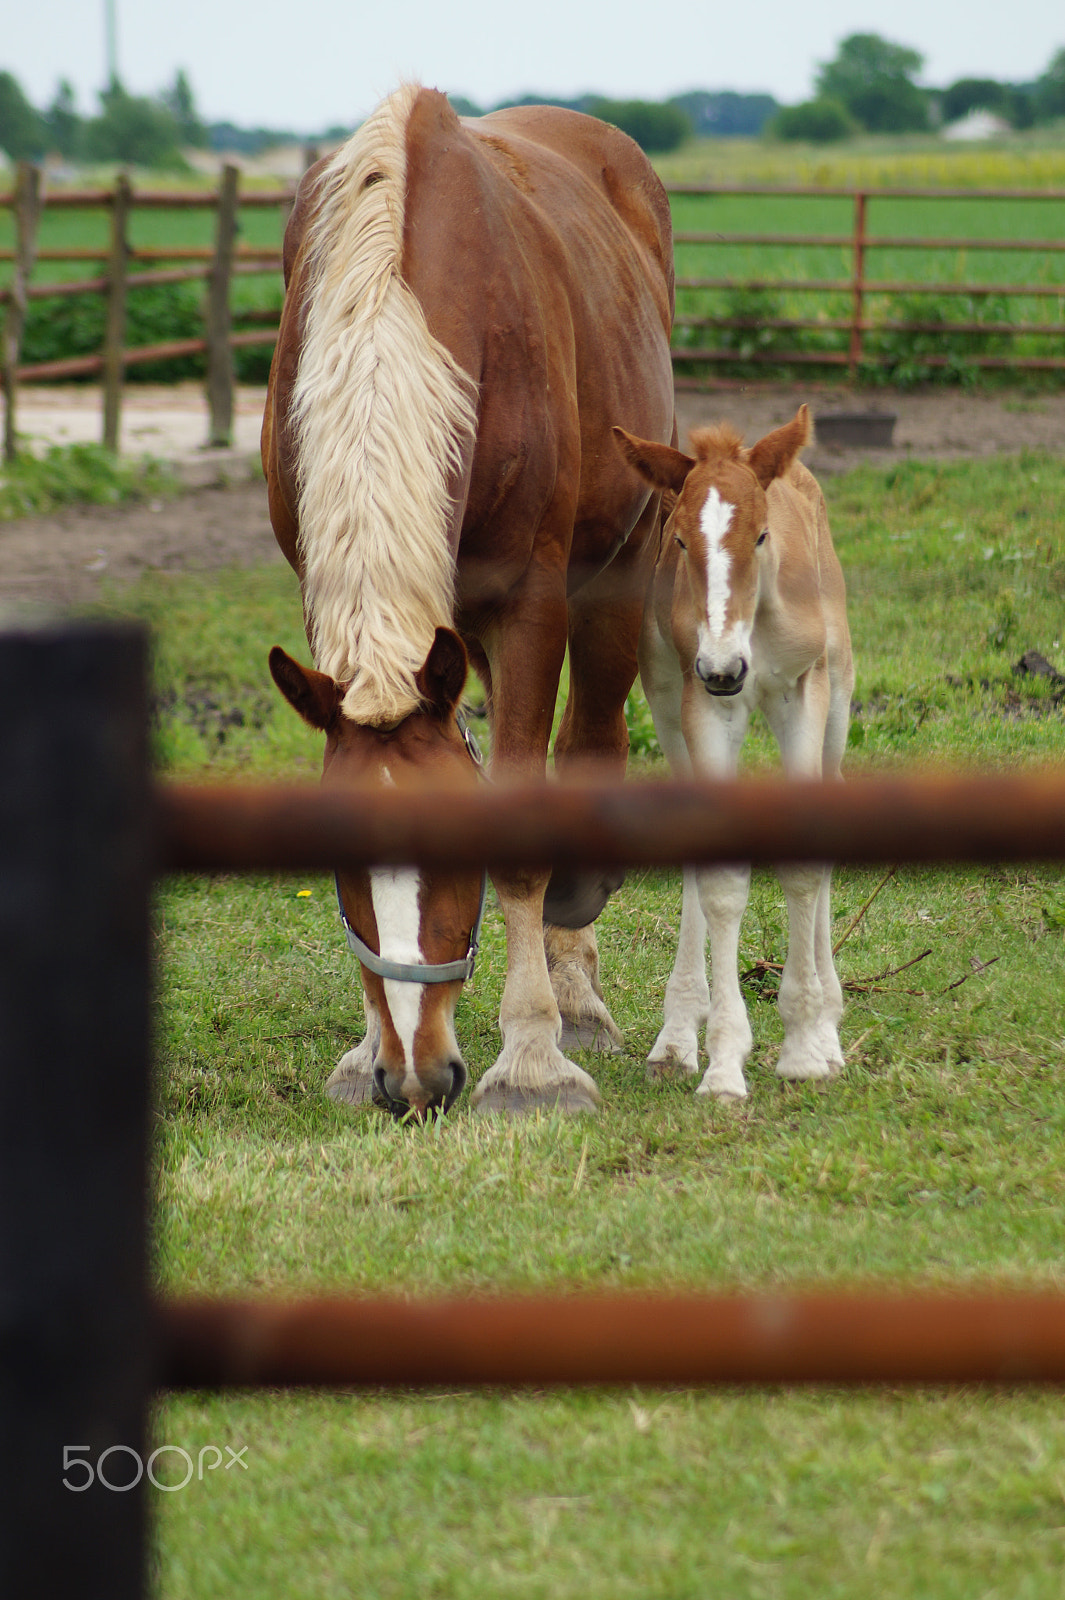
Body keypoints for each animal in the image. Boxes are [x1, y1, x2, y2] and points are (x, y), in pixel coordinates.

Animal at [260, 84, 671, 1113]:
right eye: (339, 865)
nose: (415, 1078)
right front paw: (366, 1048)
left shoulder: (530, 601)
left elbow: (523, 833)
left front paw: (530, 1062)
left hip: (621, 563)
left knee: (593, 735)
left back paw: (578, 999)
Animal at [610, 406, 850, 1100]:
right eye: (681, 542)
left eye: (763, 535)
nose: (724, 668)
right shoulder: (702, 706)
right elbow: (716, 876)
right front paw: (722, 1061)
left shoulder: (803, 693)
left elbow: (807, 862)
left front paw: (805, 1046)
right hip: (669, 706)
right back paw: (676, 1036)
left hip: (839, 698)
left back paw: (831, 1028)